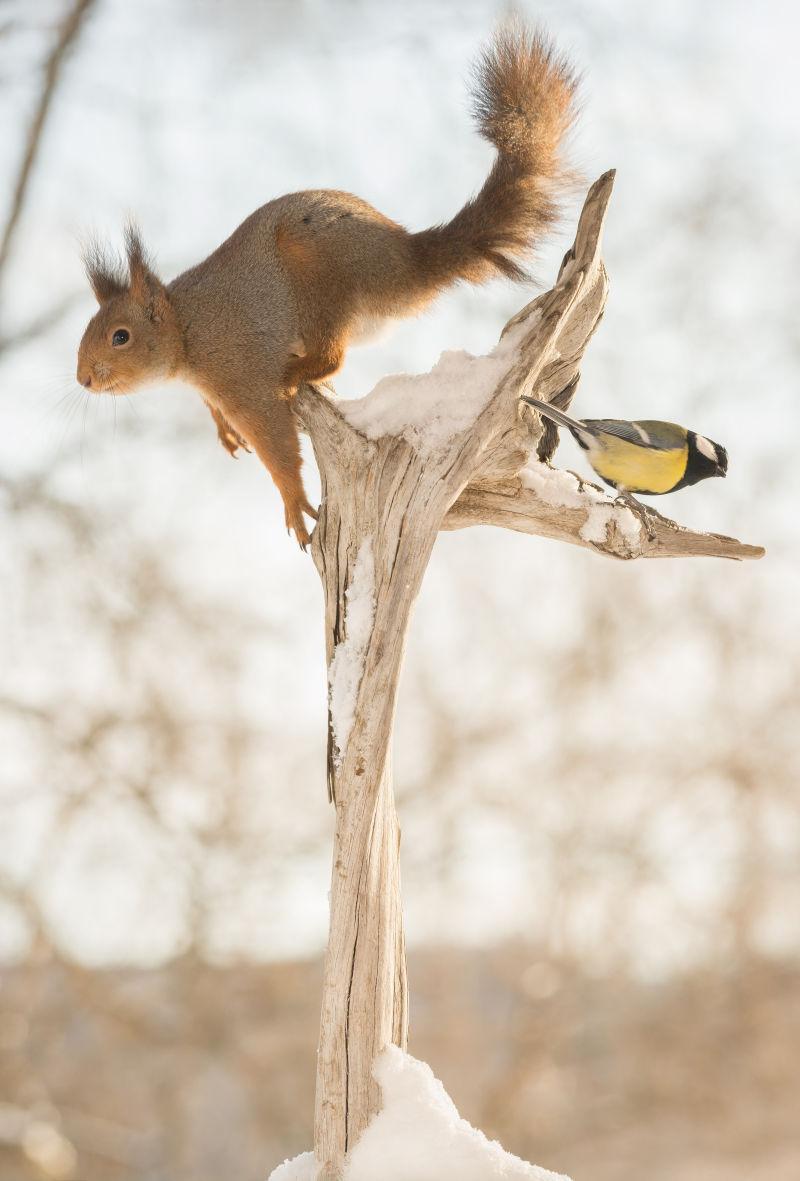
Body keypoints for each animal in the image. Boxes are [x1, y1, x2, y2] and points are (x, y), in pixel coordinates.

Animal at [75, 23, 576, 547]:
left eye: (120, 336)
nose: (83, 378)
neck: (186, 333)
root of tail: (404, 259)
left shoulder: (242, 376)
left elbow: (276, 440)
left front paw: (293, 502)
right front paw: (224, 431)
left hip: (319, 278)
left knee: (332, 357)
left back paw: (299, 371)